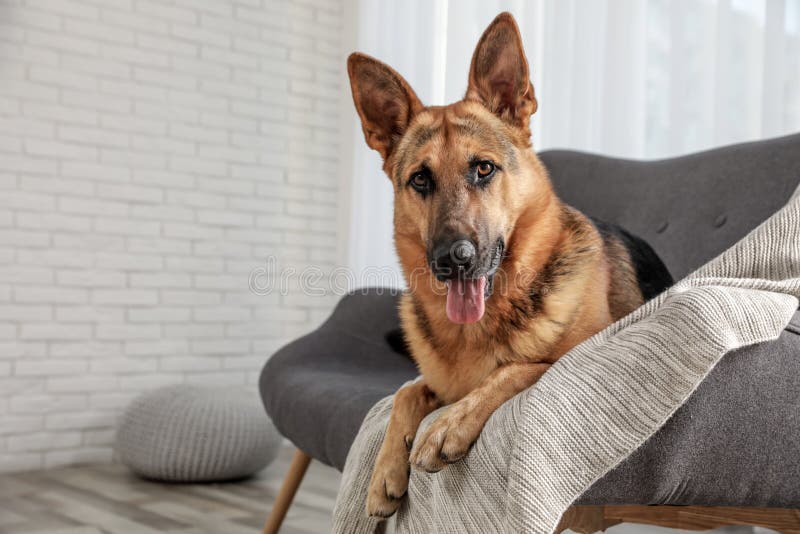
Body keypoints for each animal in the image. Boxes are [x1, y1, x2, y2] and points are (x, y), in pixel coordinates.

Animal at [346, 13, 672, 520]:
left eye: (483, 169)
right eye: (420, 179)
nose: (452, 260)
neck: (479, 328)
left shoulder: (571, 361)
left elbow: (520, 367)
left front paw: (450, 424)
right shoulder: (436, 382)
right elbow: (407, 391)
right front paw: (384, 470)